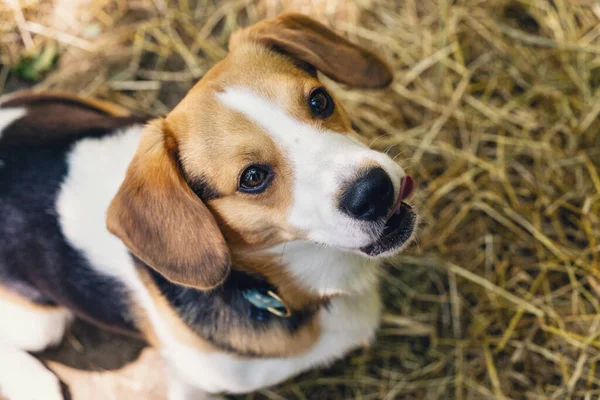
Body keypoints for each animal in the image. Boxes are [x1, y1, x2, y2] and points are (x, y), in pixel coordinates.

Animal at [0, 12, 418, 400]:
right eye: (252, 177)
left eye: (319, 100)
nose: (374, 191)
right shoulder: (191, 382)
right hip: (40, 323)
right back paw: (35, 383)